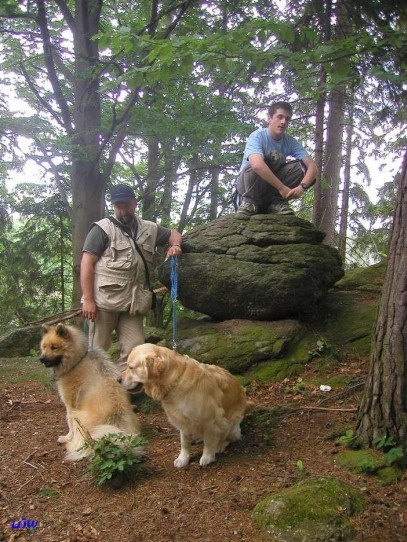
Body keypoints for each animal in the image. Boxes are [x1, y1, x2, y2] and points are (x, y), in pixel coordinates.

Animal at [39, 326, 142, 462]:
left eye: (54, 347)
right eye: (44, 347)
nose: (41, 359)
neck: (77, 360)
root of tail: (113, 422)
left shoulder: (70, 405)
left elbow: (69, 423)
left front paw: (67, 437)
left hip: (78, 417)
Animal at [119, 346, 249, 470]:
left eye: (131, 367)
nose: (118, 379)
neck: (175, 381)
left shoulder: (210, 420)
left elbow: (209, 441)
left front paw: (207, 457)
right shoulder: (182, 421)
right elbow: (184, 443)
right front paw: (182, 459)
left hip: (230, 424)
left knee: (229, 437)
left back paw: (220, 445)